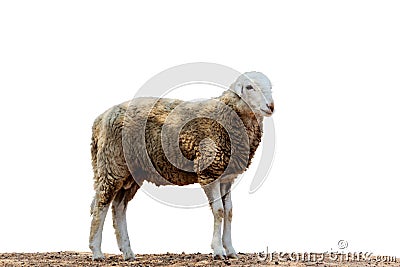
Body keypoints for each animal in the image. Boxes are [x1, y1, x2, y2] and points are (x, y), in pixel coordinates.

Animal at [88, 71, 274, 262]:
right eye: (250, 87)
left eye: (270, 87)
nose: (271, 106)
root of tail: (100, 119)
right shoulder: (209, 171)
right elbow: (219, 211)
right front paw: (218, 251)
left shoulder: (226, 177)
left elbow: (229, 212)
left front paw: (230, 249)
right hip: (111, 164)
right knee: (100, 205)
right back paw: (96, 252)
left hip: (132, 173)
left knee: (118, 206)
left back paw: (127, 252)